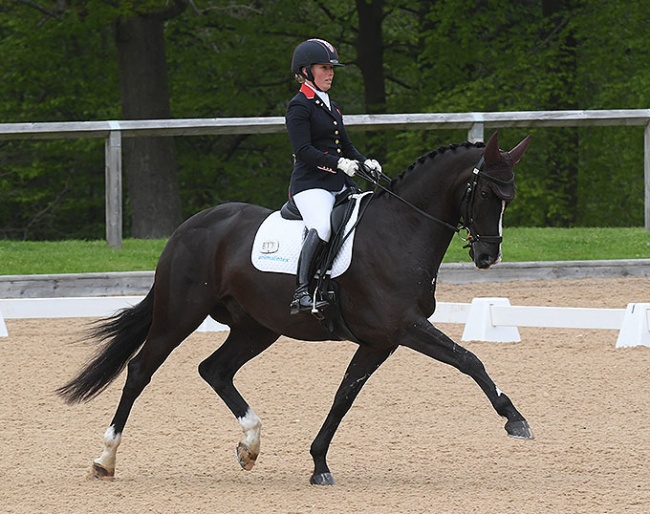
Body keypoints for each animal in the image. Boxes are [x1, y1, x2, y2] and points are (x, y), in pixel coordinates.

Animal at [57, 131, 532, 484]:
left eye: (509, 196)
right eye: (486, 191)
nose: (488, 257)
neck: (402, 229)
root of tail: (188, 227)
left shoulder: (380, 341)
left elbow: (344, 395)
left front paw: (319, 463)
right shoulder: (404, 327)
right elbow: (469, 360)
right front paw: (515, 420)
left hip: (257, 327)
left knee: (215, 369)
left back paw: (250, 445)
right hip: (180, 315)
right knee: (141, 370)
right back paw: (105, 459)